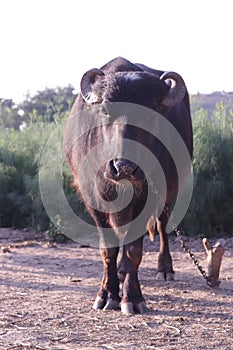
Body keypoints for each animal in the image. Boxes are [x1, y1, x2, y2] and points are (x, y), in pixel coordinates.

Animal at [63, 56, 193, 314]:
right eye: (104, 111)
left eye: (152, 112)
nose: (123, 167)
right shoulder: (92, 196)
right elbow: (108, 249)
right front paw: (107, 294)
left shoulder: (151, 195)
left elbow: (135, 251)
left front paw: (131, 298)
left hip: (170, 191)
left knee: (162, 226)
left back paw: (164, 268)